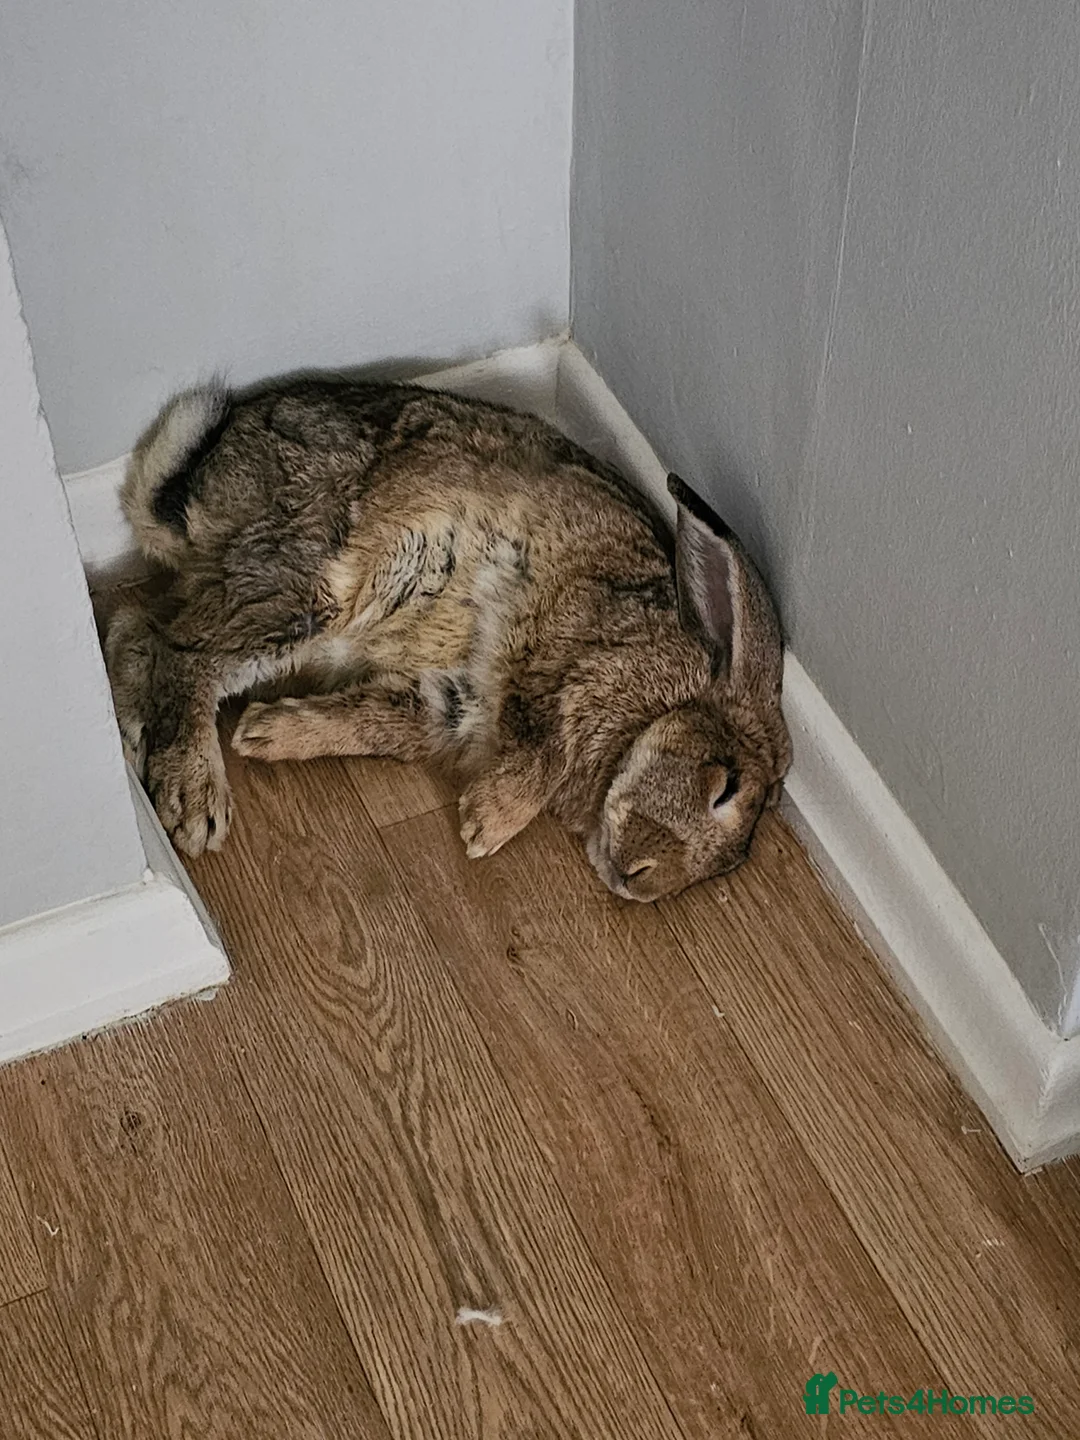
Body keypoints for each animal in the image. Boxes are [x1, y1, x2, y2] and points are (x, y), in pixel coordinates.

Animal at [105, 373, 791, 901]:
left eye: (727, 867)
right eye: (724, 784)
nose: (640, 883)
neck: (655, 708)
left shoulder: (450, 702)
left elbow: (374, 721)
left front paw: (268, 733)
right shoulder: (557, 641)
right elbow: (542, 753)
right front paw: (487, 825)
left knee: (140, 626)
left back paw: (134, 734)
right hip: (308, 584)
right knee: (186, 653)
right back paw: (193, 798)